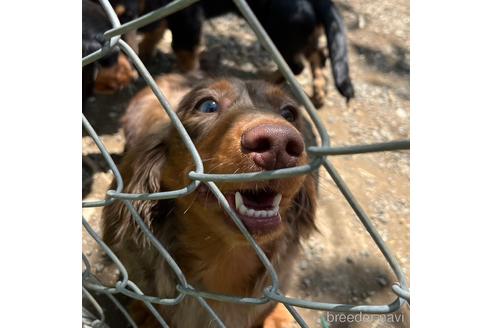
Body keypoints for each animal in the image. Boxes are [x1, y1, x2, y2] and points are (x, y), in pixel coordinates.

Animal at [128, 0, 354, 106]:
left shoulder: (188, 20)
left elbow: (184, 52)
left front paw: (183, 79)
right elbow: (155, 32)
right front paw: (144, 54)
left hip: (279, 29)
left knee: (295, 65)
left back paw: (267, 79)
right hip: (299, 31)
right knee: (319, 54)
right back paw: (319, 90)